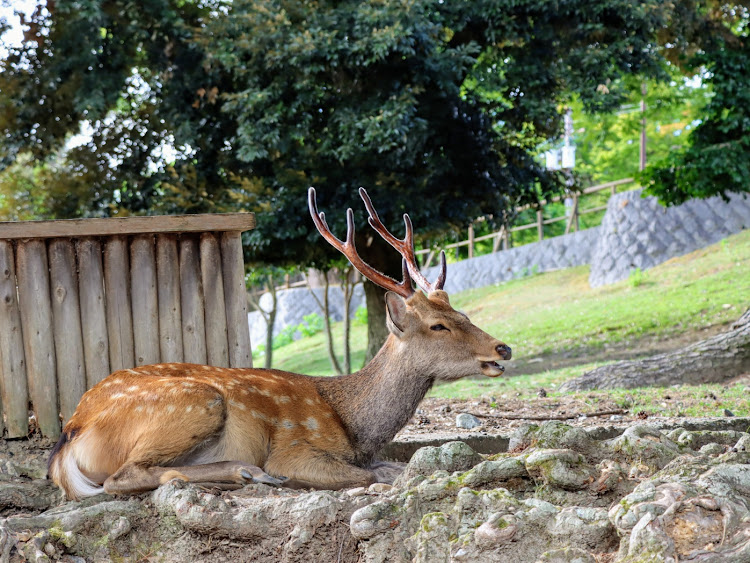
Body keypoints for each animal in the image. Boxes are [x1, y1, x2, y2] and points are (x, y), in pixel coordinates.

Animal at [50, 187, 516, 500]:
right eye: (438, 326)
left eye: (462, 313)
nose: (502, 349)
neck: (355, 427)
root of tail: (70, 435)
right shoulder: (294, 448)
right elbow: (373, 475)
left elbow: (393, 466)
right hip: (195, 402)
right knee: (123, 476)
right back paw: (246, 473)